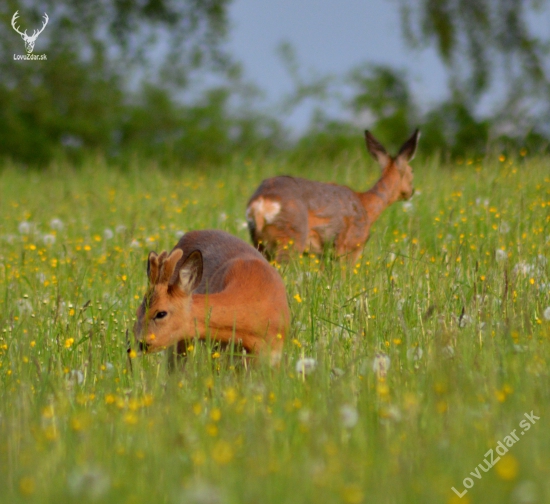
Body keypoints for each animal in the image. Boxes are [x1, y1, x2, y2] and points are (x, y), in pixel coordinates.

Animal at [248, 129, 420, 264]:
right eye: (412, 171)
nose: (411, 191)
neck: (367, 206)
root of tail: (261, 204)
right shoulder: (350, 246)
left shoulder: (325, 254)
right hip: (290, 237)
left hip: (260, 241)